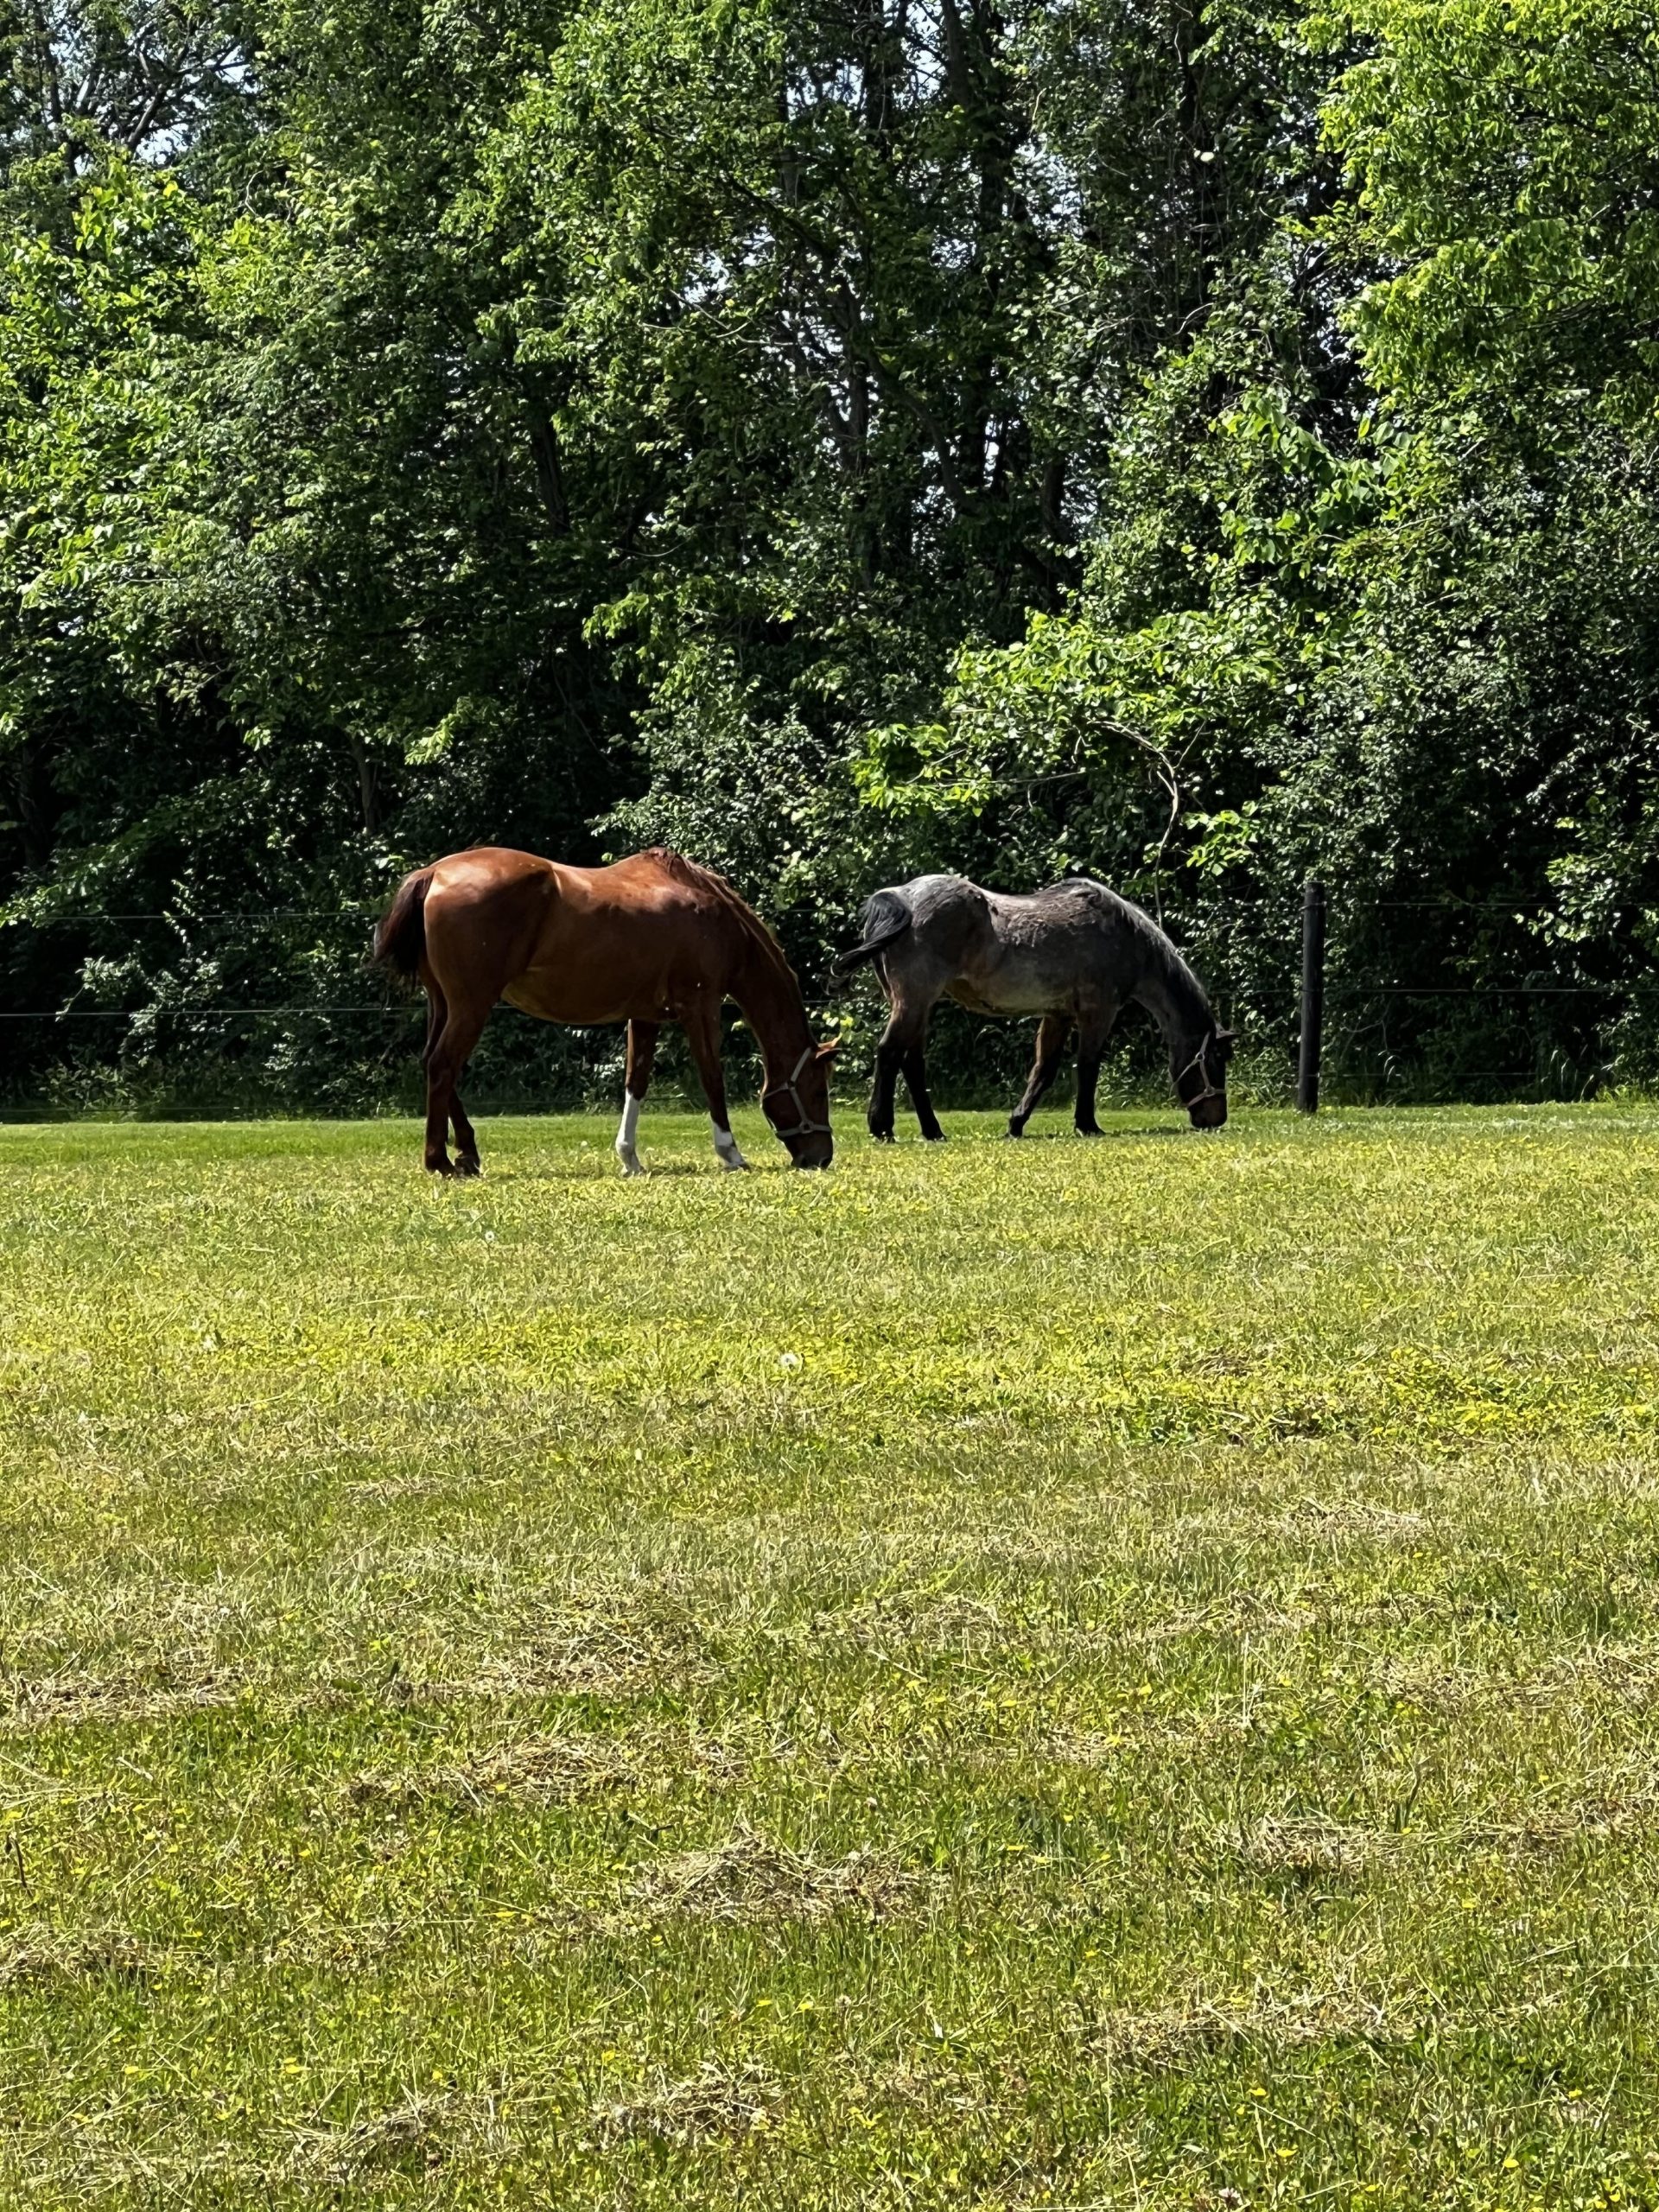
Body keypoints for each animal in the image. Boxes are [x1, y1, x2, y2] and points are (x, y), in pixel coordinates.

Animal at [380, 840, 844, 1176]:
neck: (712, 914)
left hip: (444, 1003)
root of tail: (433, 873)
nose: (820, 1157)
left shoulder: (647, 1016)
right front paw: (731, 1154)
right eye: (818, 1089)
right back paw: (440, 1161)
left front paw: (630, 1158)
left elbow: (635, 1082)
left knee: (434, 1064)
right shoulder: (701, 1007)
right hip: (471, 1005)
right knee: (443, 1065)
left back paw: (467, 1155)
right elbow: (713, 1079)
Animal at [844, 871, 1238, 1141]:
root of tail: (901, 899)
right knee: (889, 1052)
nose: (1216, 1118)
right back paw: (882, 1126)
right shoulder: (1098, 1011)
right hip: (914, 1001)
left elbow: (1044, 1070)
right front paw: (1087, 1124)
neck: (1123, 935)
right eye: (1215, 1060)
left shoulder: (1058, 1015)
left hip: (920, 1005)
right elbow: (1088, 1067)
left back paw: (933, 1130)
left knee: (911, 1063)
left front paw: (1016, 1123)